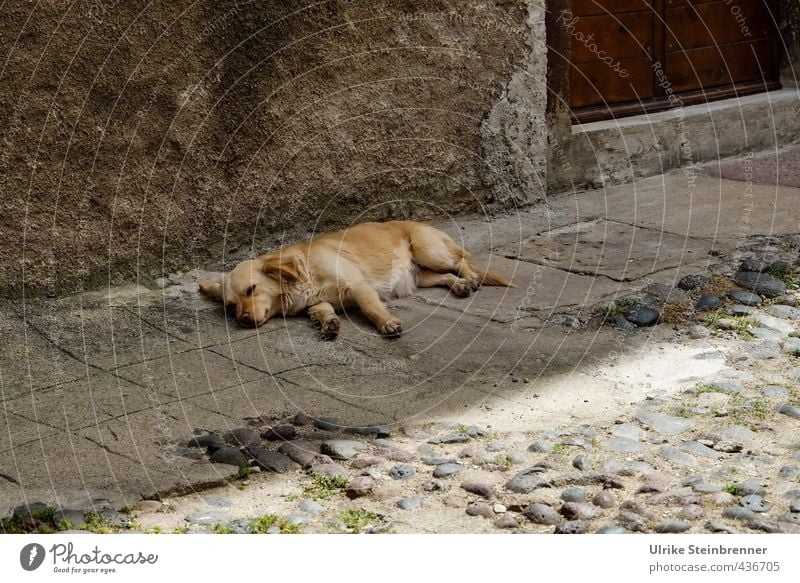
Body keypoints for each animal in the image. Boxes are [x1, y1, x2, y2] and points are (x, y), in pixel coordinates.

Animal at [199, 221, 512, 340]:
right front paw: (330, 324)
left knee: (460, 263)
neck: (305, 275)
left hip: (429, 251)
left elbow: (371, 308)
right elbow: (324, 311)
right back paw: (459, 285)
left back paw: (471, 279)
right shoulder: (317, 303)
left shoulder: (359, 287)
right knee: (446, 277)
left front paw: (387, 323)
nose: (242, 320)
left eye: (252, 289)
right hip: (420, 275)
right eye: (230, 306)